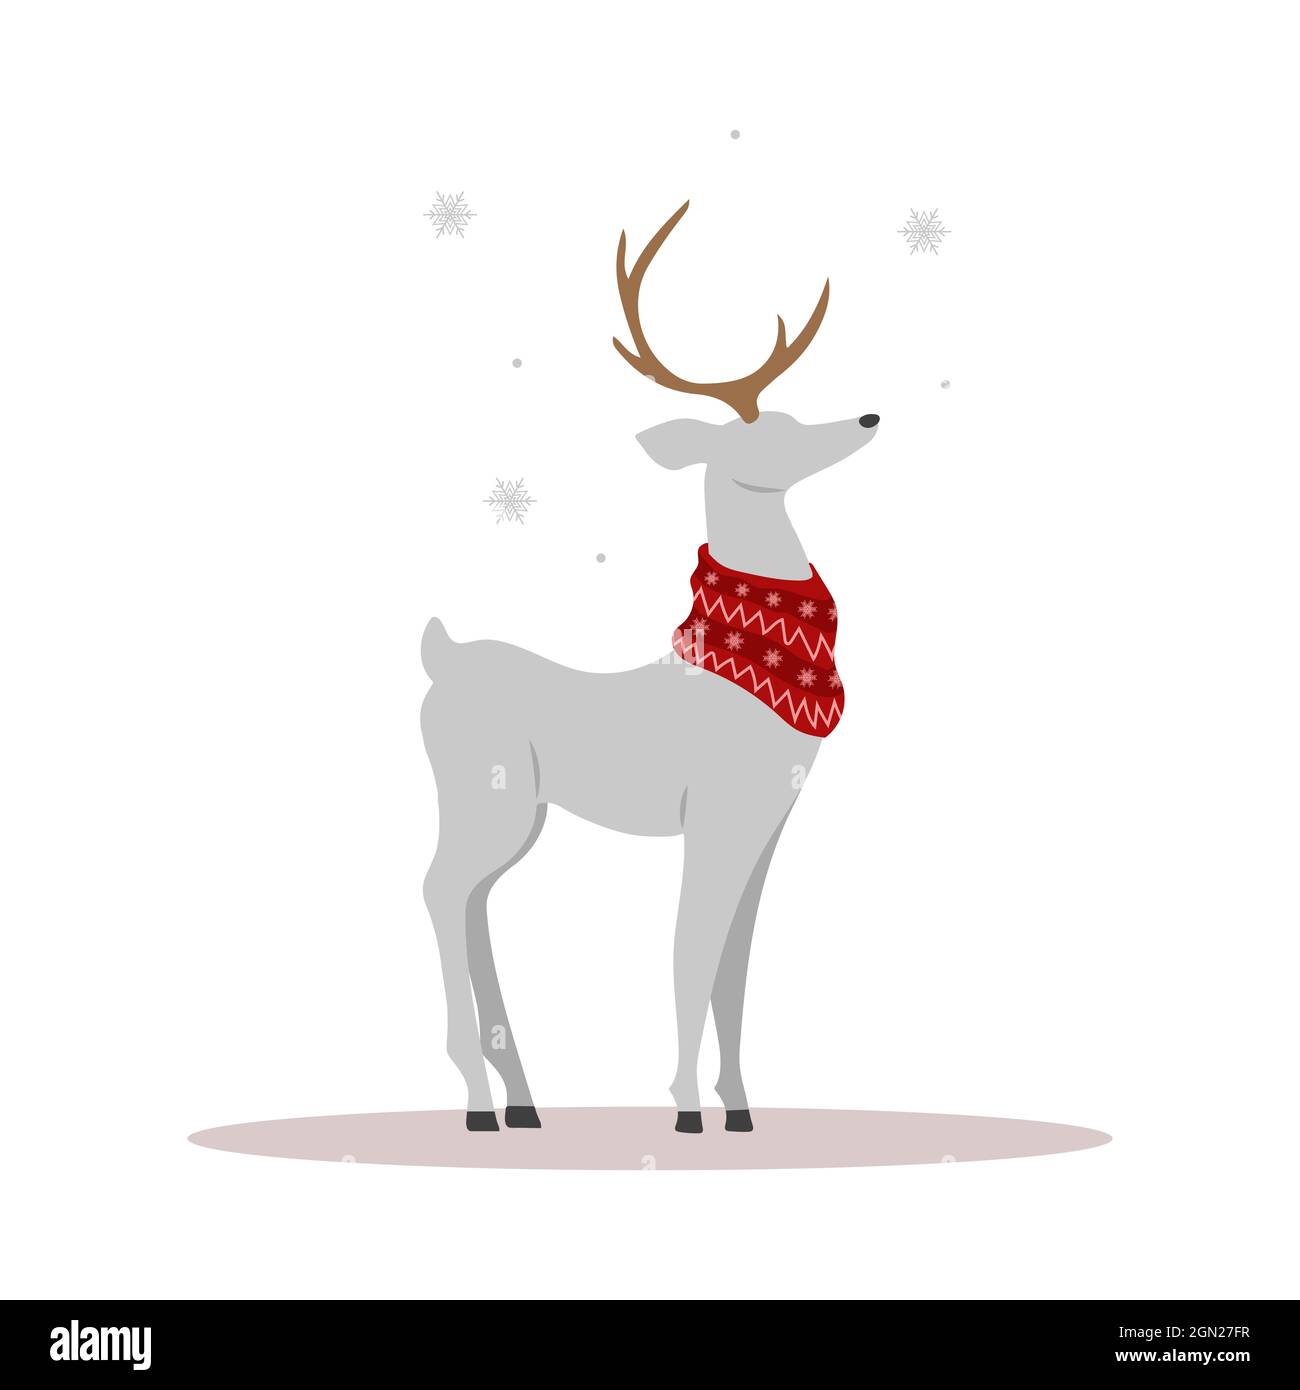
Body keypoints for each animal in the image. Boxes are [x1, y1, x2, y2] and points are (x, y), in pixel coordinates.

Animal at [420, 201, 880, 1133]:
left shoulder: (765, 825)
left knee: (476, 901)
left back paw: (523, 1100)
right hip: (484, 795)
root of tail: (435, 661)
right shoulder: (714, 814)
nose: (866, 421)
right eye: (769, 431)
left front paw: (740, 1108)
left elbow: (736, 965)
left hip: (518, 811)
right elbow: (691, 949)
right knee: (440, 890)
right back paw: (479, 1101)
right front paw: (686, 1108)